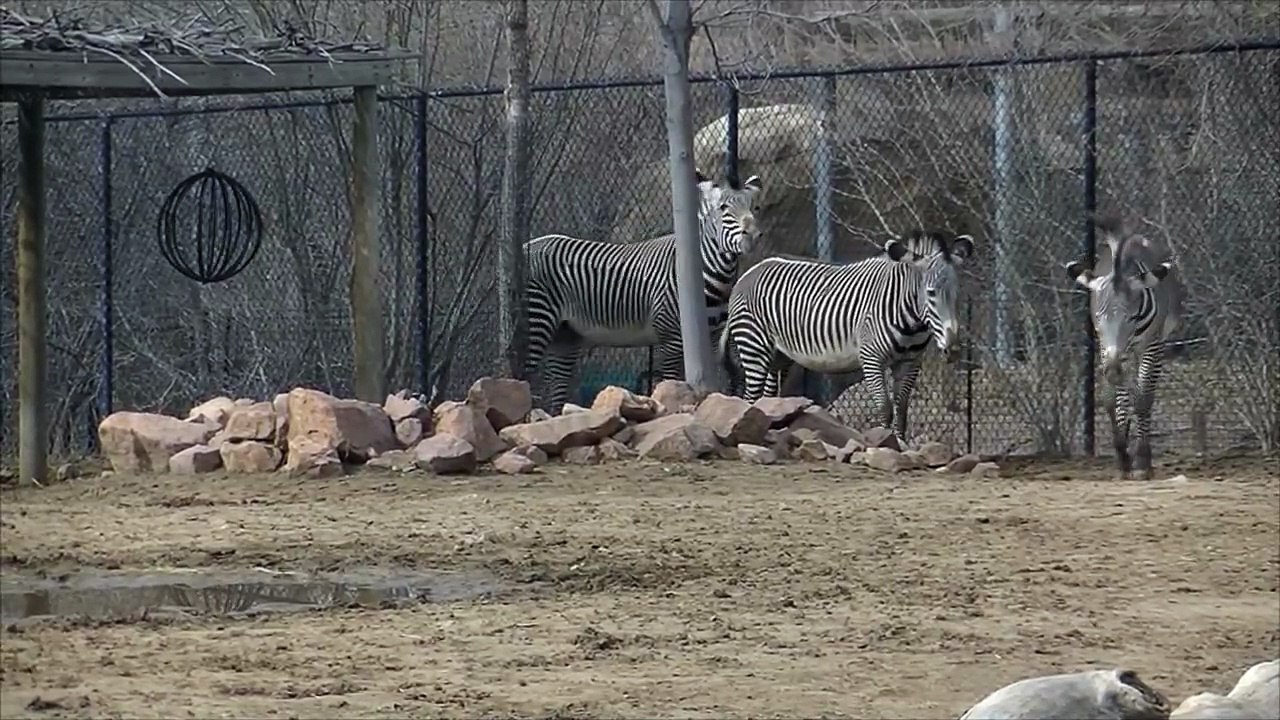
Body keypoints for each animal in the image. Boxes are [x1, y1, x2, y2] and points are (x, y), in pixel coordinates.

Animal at [523, 171, 763, 411]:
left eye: (755, 207)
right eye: (723, 208)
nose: (753, 235)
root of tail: (529, 245)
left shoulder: (713, 336)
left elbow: (713, 387)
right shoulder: (671, 338)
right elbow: (671, 383)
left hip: (565, 335)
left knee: (557, 388)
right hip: (538, 321)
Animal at [720, 230, 974, 444]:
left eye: (957, 294)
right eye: (931, 294)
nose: (953, 349)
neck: (910, 320)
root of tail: (751, 270)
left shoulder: (911, 362)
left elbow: (902, 408)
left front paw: (902, 445)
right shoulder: (871, 358)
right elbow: (885, 407)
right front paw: (885, 444)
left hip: (778, 355)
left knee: (769, 397)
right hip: (754, 345)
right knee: (750, 397)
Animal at [1065, 214, 1184, 479]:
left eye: (1131, 316)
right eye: (1098, 318)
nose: (1113, 371)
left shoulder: (1151, 344)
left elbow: (1143, 398)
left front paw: (1142, 461)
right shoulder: (1105, 348)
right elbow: (1111, 399)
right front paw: (1122, 455)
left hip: (1149, 346)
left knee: (1144, 394)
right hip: (1126, 355)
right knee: (1125, 394)